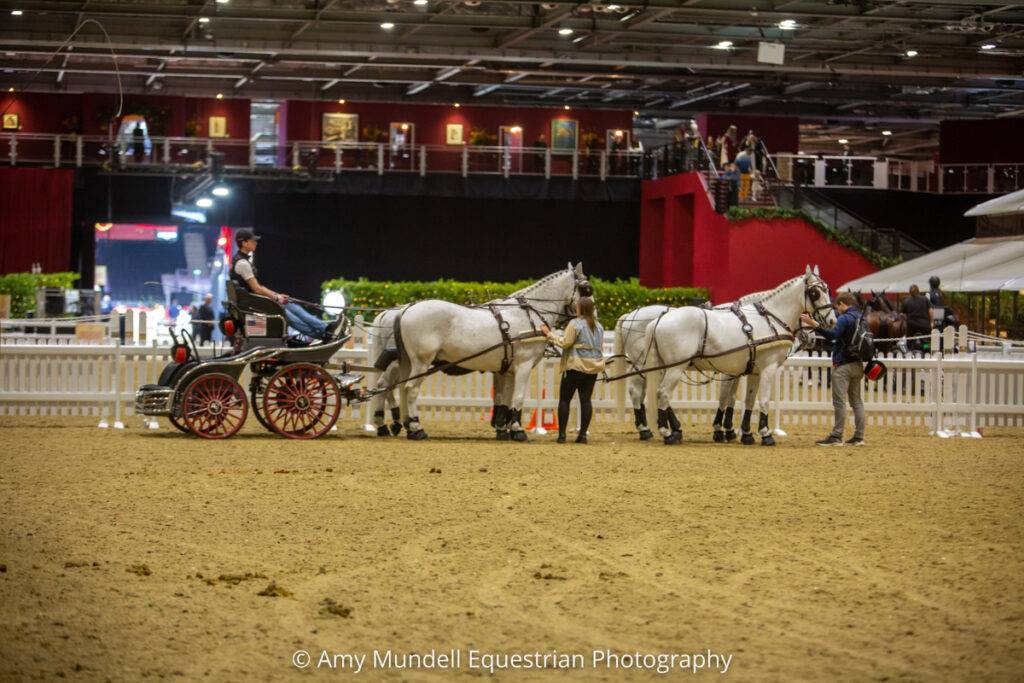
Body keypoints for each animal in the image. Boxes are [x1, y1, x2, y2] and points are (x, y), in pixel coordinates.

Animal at [394, 263, 587, 441]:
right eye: (586, 288)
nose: (590, 315)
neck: (529, 315)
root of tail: (406, 310)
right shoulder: (524, 366)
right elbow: (518, 398)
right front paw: (518, 430)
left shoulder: (507, 370)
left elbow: (505, 400)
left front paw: (503, 430)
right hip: (422, 362)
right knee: (411, 390)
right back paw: (417, 429)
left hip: (409, 363)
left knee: (403, 388)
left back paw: (409, 427)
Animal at [640, 266, 836, 445]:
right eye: (815, 292)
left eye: (828, 290)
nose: (832, 321)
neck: (770, 320)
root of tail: (658, 320)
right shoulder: (768, 368)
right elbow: (761, 400)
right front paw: (765, 434)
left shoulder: (753, 371)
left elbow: (747, 400)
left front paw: (746, 434)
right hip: (675, 368)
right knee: (662, 393)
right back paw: (667, 433)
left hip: (665, 367)